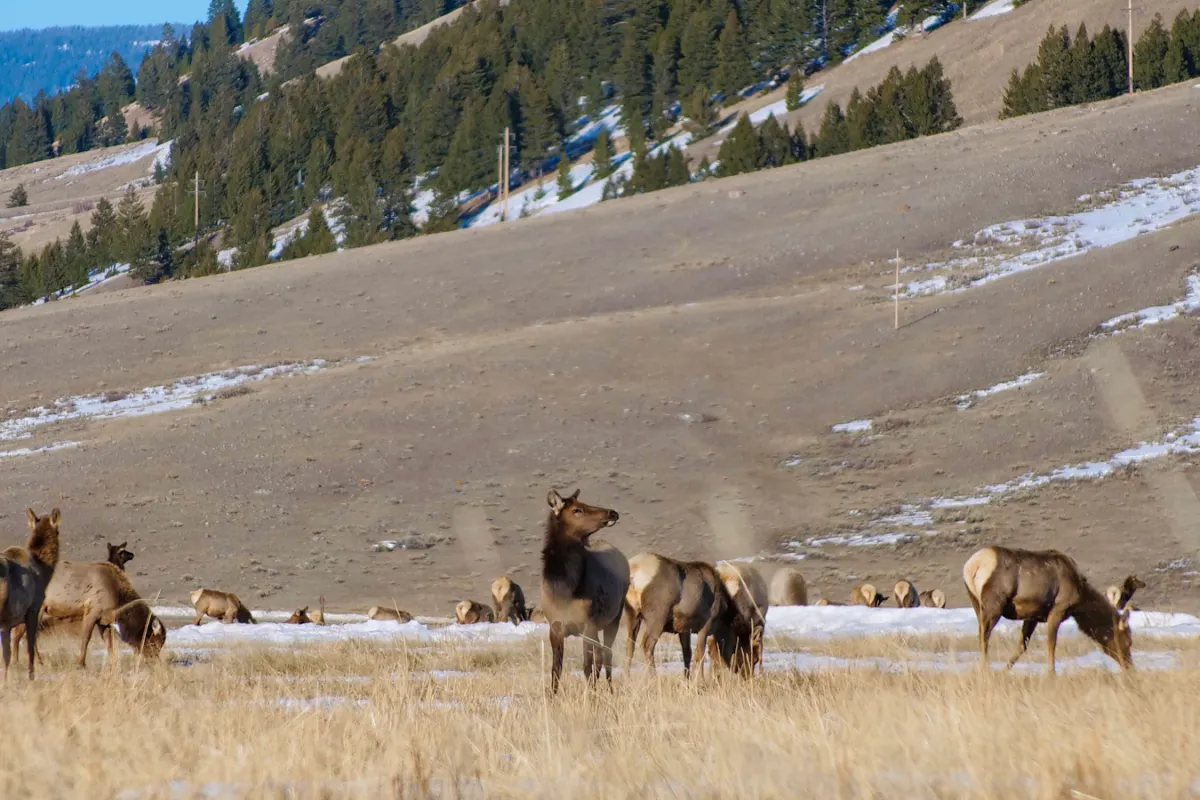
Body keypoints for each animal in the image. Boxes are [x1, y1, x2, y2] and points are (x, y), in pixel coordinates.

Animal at [0, 509, 62, 680]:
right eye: (58, 531)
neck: (44, 570)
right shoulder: (33, 610)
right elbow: (27, 651)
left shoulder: (8, 622)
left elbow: (7, 656)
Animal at [540, 489, 628, 693]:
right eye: (577, 510)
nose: (612, 513)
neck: (564, 589)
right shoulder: (555, 626)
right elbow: (555, 669)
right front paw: (552, 696)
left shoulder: (588, 624)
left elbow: (587, 667)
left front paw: (590, 696)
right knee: (601, 655)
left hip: (615, 617)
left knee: (607, 655)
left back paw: (610, 690)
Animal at [963, 546, 1133, 674]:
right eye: (1128, 640)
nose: (1130, 666)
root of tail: (972, 565)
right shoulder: (1057, 610)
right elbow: (1051, 643)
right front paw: (1051, 674)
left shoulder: (1032, 616)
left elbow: (1022, 645)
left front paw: (1003, 671)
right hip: (993, 606)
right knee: (984, 637)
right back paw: (984, 670)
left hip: (976, 603)